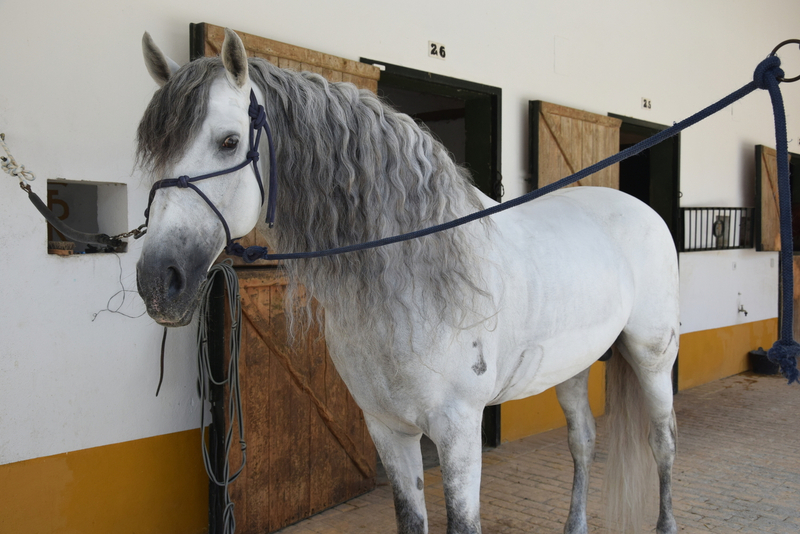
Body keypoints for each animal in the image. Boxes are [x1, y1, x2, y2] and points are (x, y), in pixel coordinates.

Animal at [135, 29, 679, 534]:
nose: (159, 282)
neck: (412, 282)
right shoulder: (388, 429)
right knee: (583, 442)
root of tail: (641, 209)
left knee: (663, 443)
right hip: (571, 367)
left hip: (653, 359)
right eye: (153, 152)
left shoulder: (459, 430)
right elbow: (409, 517)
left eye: (228, 141)